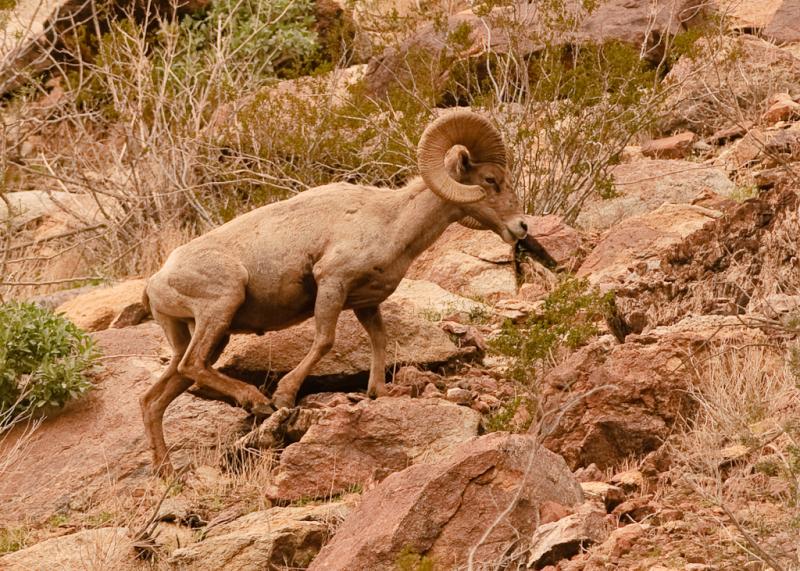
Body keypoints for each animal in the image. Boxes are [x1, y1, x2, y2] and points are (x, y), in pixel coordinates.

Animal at [140, 110, 528, 476]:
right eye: (490, 179)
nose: (521, 227)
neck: (392, 220)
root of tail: (156, 284)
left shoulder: (366, 303)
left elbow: (380, 340)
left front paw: (378, 393)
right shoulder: (332, 283)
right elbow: (325, 340)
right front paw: (283, 396)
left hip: (207, 335)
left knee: (154, 399)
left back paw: (166, 472)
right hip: (222, 305)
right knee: (192, 366)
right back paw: (256, 401)